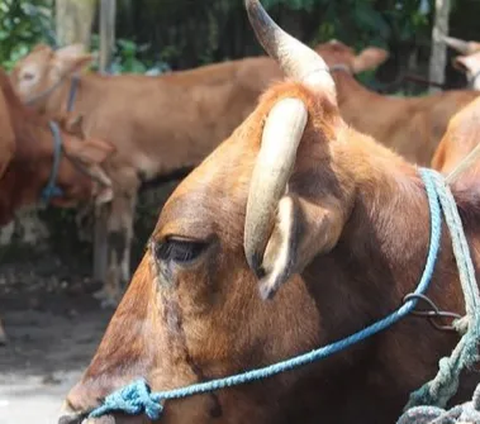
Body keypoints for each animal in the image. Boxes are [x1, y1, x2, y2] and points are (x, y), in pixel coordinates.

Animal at [9, 39, 386, 306]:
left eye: (29, 75)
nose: (9, 94)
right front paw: (106, 284)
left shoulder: (125, 176)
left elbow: (117, 234)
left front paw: (111, 289)